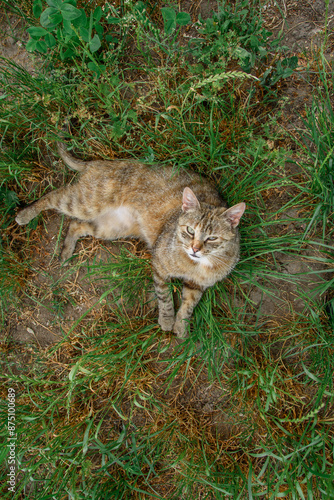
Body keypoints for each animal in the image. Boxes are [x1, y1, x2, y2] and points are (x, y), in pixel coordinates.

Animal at [15, 141, 245, 338]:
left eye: (212, 238)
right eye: (189, 230)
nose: (195, 249)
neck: (197, 265)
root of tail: (99, 162)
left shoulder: (197, 286)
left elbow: (188, 306)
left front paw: (181, 326)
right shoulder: (159, 266)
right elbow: (165, 297)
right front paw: (167, 320)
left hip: (111, 227)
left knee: (76, 224)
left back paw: (66, 250)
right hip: (84, 202)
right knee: (54, 196)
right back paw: (24, 215)